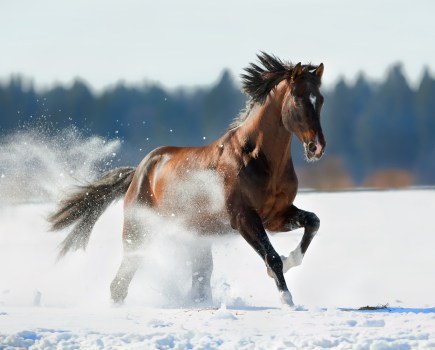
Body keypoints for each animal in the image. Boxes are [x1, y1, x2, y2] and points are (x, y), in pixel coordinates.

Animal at [48, 52, 328, 306]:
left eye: (321, 100)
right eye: (297, 99)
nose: (316, 147)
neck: (256, 158)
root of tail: (139, 171)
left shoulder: (276, 216)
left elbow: (313, 222)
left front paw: (291, 261)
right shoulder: (244, 218)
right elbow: (272, 257)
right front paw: (286, 299)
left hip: (196, 238)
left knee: (198, 279)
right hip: (139, 233)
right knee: (120, 282)